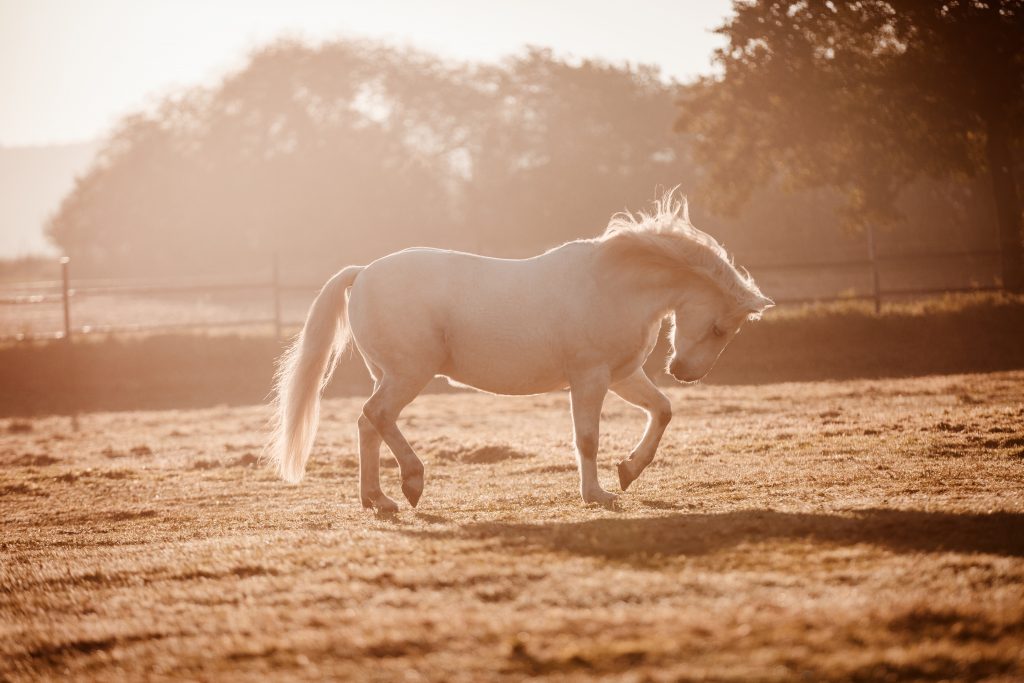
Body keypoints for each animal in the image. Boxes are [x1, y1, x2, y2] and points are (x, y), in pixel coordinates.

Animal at [268, 190, 773, 512]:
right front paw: (598, 495)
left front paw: (628, 471)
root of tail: (364, 272)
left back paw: (379, 500)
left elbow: (662, 411)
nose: (685, 371)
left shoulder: (624, 376)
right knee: (376, 416)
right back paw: (411, 482)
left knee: (369, 425)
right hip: (409, 375)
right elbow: (587, 438)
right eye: (720, 328)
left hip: (390, 375)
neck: (613, 284)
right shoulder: (590, 378)